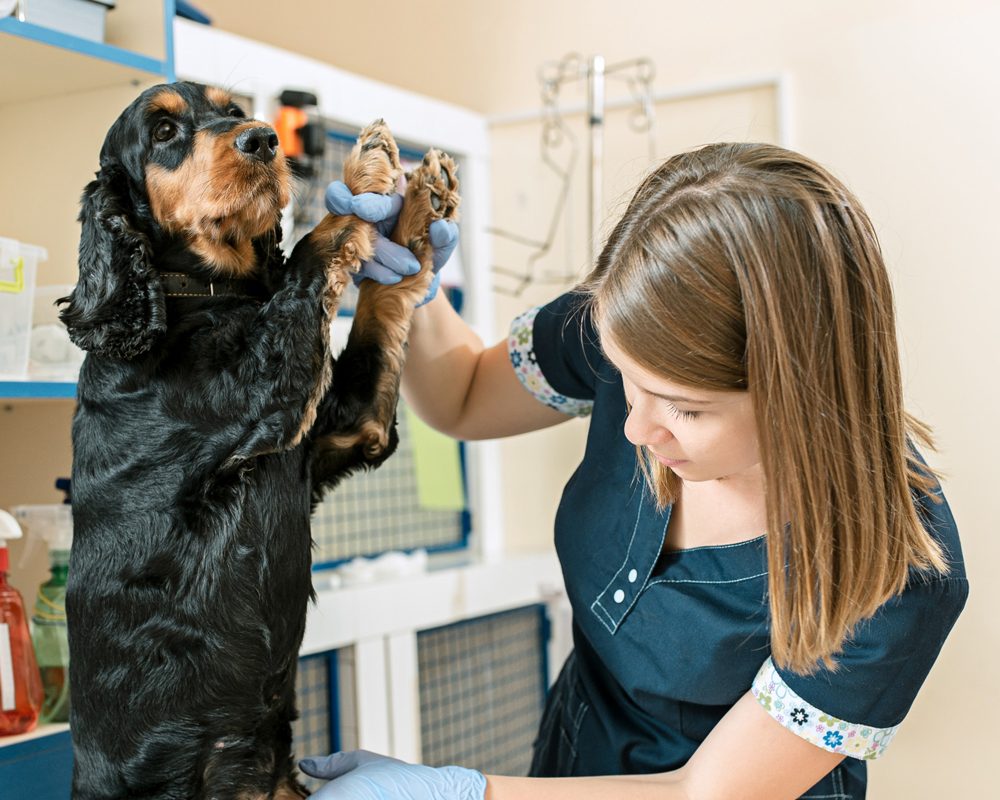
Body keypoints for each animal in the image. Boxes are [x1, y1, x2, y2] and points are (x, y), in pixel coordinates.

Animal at [58, 81, 459, 799]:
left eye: (232, 110)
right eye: (164, 131)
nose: (264, 139)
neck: (200, 298)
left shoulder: (352, 423)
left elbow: (379, 308)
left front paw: (417, 206)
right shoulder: (268, 387)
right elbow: (309, 253)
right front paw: (366, 172)